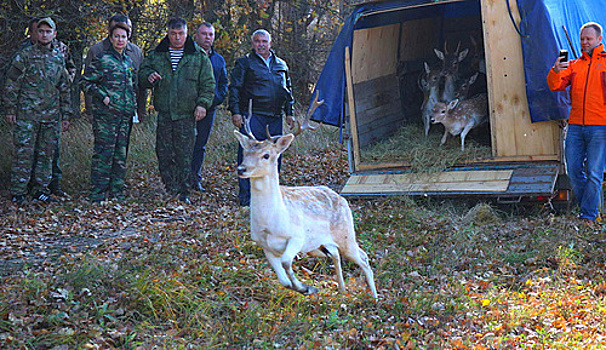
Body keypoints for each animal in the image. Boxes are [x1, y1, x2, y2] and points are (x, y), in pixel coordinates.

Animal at [235, 94, 378, 300]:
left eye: (266, 155)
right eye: (245, 152)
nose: (241, 169)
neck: (270, 223)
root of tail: (341, 198)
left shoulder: (297, 236)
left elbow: (287, 262)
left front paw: (306, 287)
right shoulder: (265, 246)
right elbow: (283, 280)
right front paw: (306, 288)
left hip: (345, 233)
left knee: (363, 257)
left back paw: (375, 297)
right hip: (318, 246)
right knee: (335, 254)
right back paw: (342, 289)